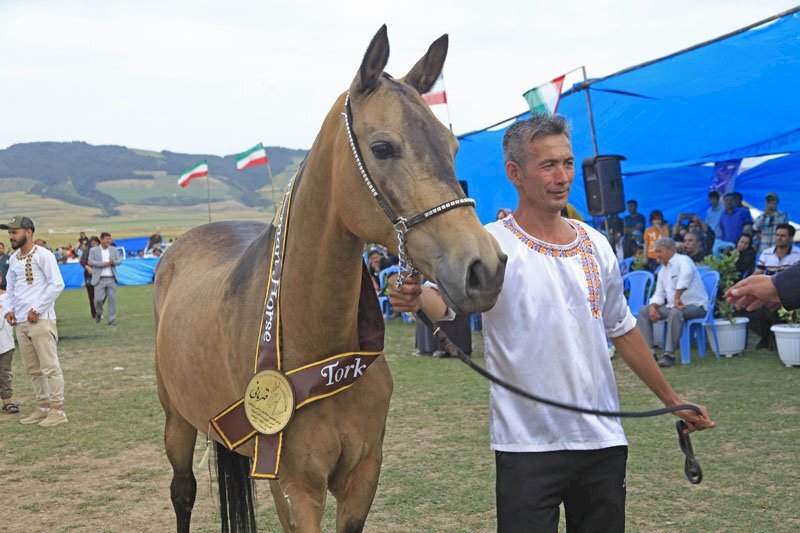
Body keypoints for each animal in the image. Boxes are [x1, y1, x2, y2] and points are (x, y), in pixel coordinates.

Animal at [154, 26, 506, 532]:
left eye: (453, 147)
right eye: (383, 148)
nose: (484, 268)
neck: (318, 346)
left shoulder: (362, 475)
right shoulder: (293, 487)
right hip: (177, 422)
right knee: (182, 492)